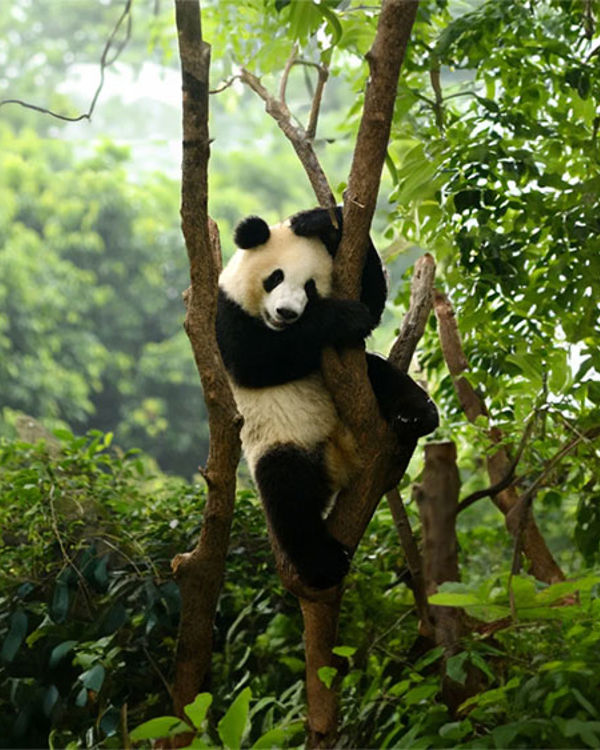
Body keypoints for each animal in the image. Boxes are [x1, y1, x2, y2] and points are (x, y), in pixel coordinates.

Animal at [216, 207, 438, 589]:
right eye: (275, 277)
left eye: (311, 287)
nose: (287, 313)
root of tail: (342, 460)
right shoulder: (225, 310)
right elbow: (254, 360)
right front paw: (343, 317)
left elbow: (371, 298)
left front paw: (320, 221)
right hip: (283, 440)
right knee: (289, 496)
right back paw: (324, 565)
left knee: (379, 373)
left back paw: (416, 416)